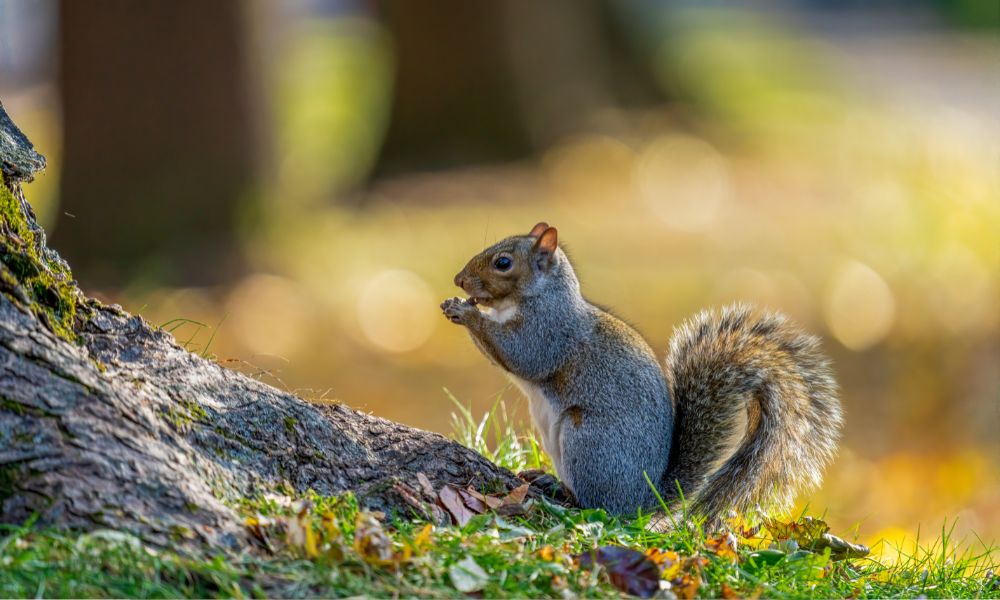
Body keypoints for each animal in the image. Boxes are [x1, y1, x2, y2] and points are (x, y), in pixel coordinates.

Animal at [442, 223, 840, 524]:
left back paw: (562, 494)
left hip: (589, 441)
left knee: (600, 507)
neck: (540, 296)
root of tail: (642, 500)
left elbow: (521, 355)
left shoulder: (549, 331)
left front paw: (467, 312)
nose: (459, 280)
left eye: (503, 262)